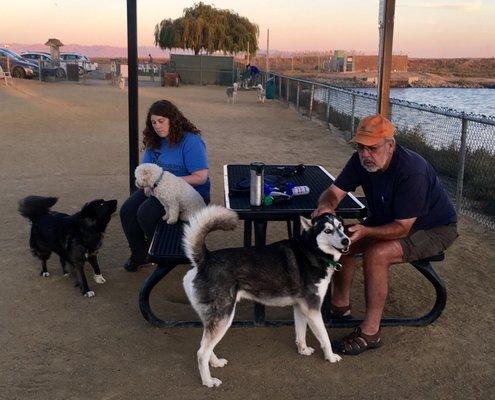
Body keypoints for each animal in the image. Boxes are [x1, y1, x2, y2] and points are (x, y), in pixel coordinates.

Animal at [183, 205, 352, 386]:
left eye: (340, 227)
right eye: (328, 230)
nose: (346, 240)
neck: (312, 251)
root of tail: (205, 260)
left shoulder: (301, 307)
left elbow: (300, 334)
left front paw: (303, 350)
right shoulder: (312, 309)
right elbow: (325, 337)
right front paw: (331, 356)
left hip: (215, 319)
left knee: (205, 345)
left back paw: (215, 362)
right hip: (224, 317)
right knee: (202, 352)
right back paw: (208, 381)